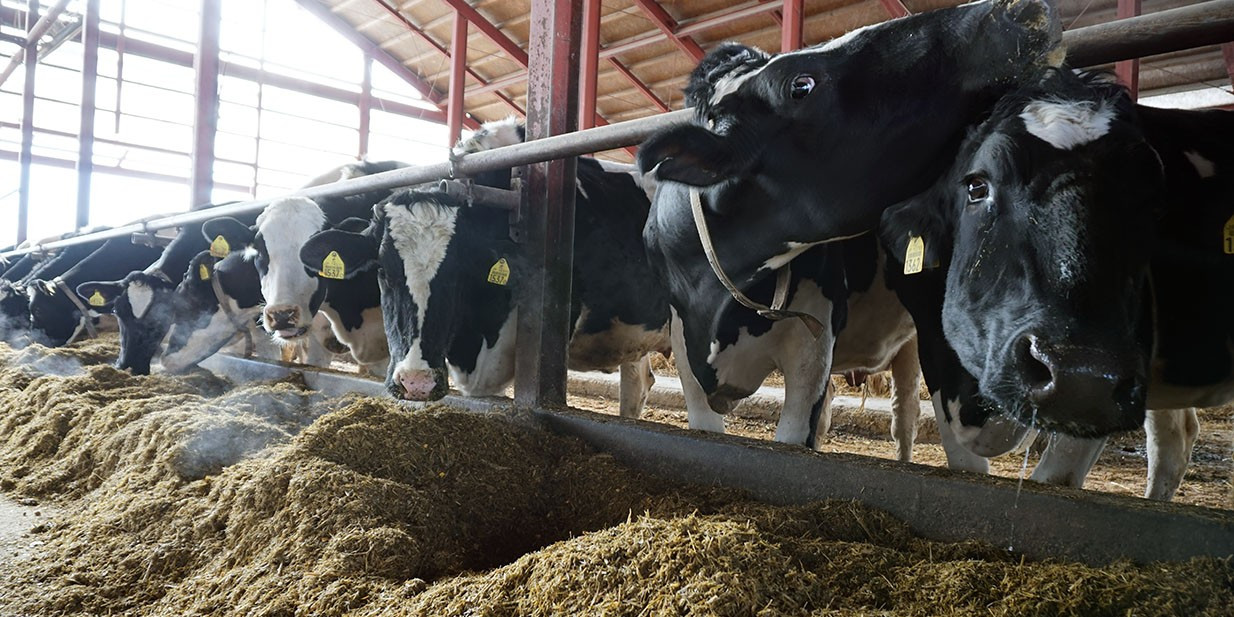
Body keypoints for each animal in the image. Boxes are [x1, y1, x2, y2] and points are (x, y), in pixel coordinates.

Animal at [883, 68, 1229, 501]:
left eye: (1154, 205)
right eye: (977, 186)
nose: (1079, 374)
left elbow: (1054, 480)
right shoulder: (933, 348)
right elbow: (963, 464)